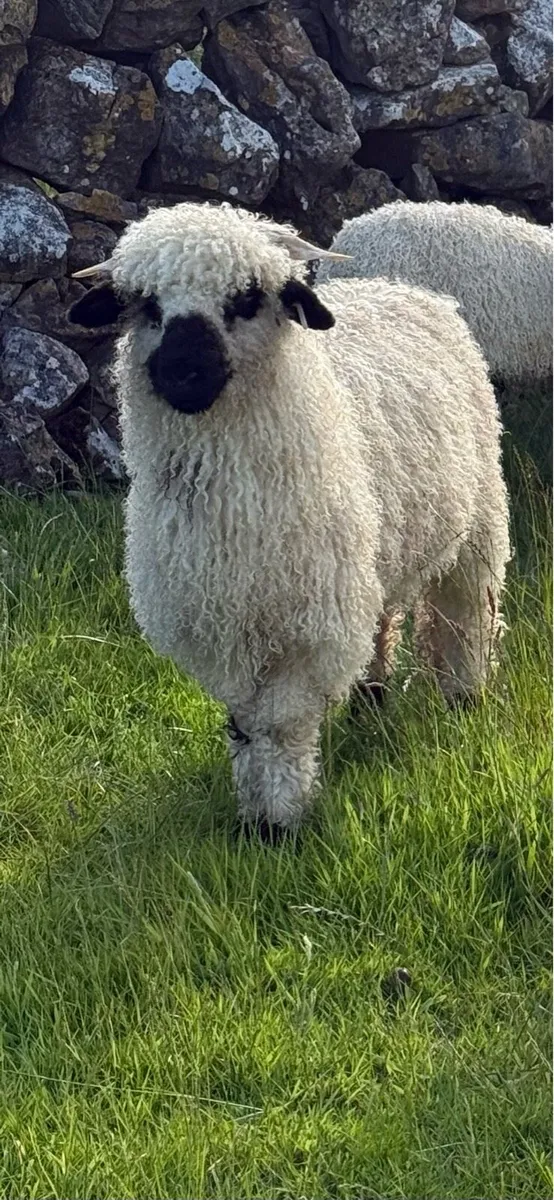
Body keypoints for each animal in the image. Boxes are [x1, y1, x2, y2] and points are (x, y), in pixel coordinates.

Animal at [68, 200, 511, 836]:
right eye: (146, 304)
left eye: (248, 298)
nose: (181, 372)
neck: (235, 508)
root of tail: (400, 287)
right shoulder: (219, 622)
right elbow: (244, 722)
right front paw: (256, 816)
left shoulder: (309, 621)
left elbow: (279, 723)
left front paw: (280, 823)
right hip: (375, 546)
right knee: (383, 620)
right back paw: (370, 696)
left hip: (476, 525)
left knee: (466, 616)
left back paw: (464, 698)